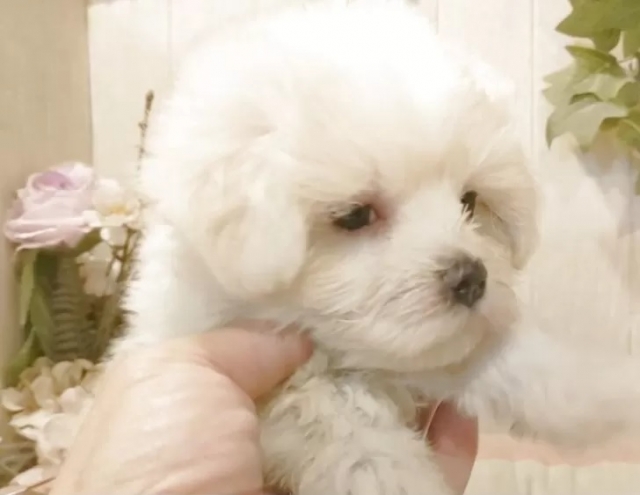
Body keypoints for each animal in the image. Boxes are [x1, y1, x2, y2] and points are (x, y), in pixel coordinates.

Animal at [113, 2, 640, 494]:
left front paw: (607, 391)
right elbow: (348, 431)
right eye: (355, 216)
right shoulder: (287, 391)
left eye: (470, 201)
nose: (472, 278)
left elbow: (510, 357)